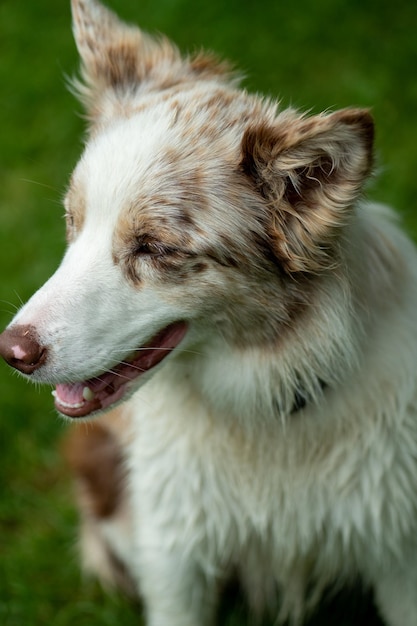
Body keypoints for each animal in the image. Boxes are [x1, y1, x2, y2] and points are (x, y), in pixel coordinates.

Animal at [0, 0, 416, 620]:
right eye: (74, 221)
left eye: (154, 248)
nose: (12, 352)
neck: (269, 410)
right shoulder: (175, 557)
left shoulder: (398, 548)